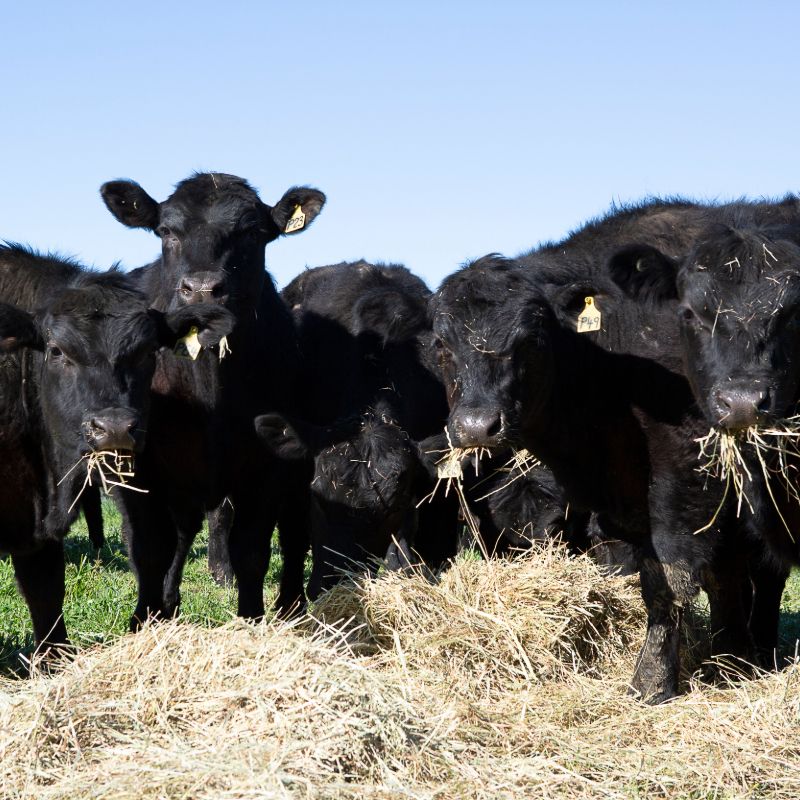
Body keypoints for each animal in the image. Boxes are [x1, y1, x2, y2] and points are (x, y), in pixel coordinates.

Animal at [100, 173, 324, 624]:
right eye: (166, 231)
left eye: (253, 233)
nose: (202, 289)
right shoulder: (137, 465)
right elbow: (149, 548)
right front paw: (145, 620)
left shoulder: (269, 466)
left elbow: (251, 550)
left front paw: (251, 619)